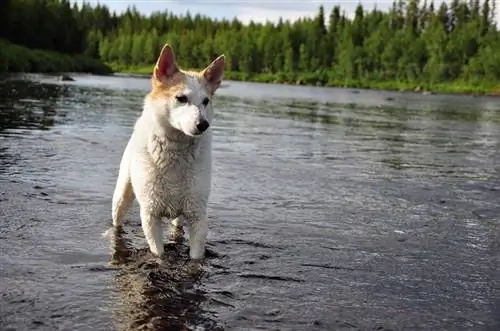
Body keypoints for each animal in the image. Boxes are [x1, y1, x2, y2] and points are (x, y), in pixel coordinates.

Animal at [112, 42, 227, 260]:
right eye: (181, 98)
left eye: (206, 101)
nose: (203, 124)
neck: (176, 150)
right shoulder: (150, 215)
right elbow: (159, 254)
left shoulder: (197, 215)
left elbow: (195, 256)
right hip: (122, 196)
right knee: (117, 220)